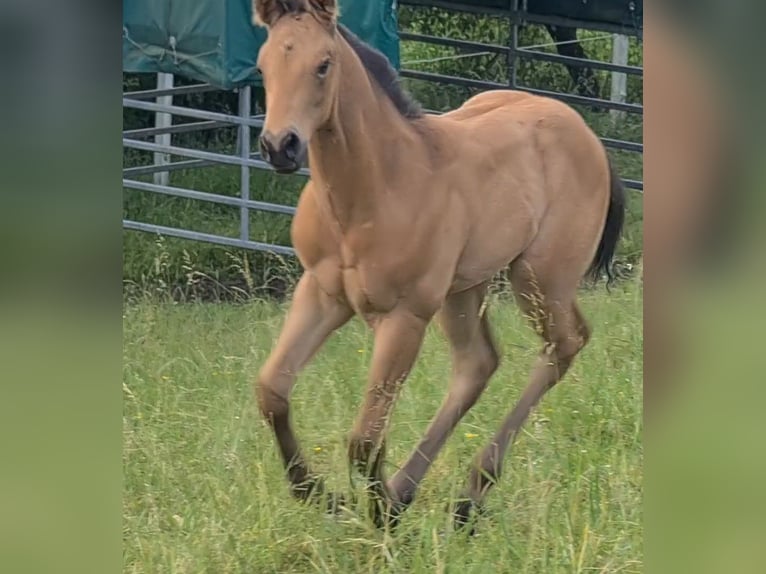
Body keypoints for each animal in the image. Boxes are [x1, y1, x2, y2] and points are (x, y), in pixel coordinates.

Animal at [251, 0, 625, 531]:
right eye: (263, 66)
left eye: (323, 64)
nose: (280, 145)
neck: (375, 189)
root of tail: (586, 133)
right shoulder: (321, 294)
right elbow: (273, 392)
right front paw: (319, 494)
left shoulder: (405, 316)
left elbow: (365, 438)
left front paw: (378, 516)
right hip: (465, 288)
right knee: (478, 362)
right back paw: (413, 489)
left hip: (539, 278)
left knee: (566, 343)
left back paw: (469, 492)